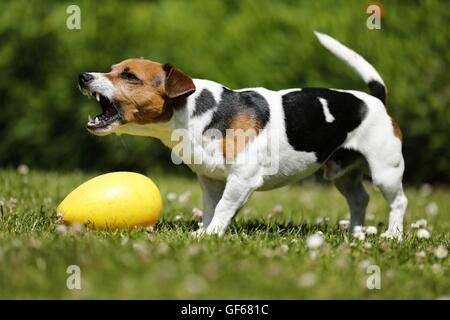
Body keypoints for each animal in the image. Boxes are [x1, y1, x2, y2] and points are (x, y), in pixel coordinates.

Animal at [78, 32, 408, 239]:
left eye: (130, 76)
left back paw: (392, 235)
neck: (198, 113)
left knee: (398, 202)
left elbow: (224, 207)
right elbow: (211, 208)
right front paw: (205, 230)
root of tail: (374, 99)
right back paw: (356, 234)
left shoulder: (242, 179)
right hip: (341, 173)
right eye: (112, 69)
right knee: (360, 199)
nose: (83, 76)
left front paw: (211, 236)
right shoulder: (210, 180)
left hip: (385, 171)